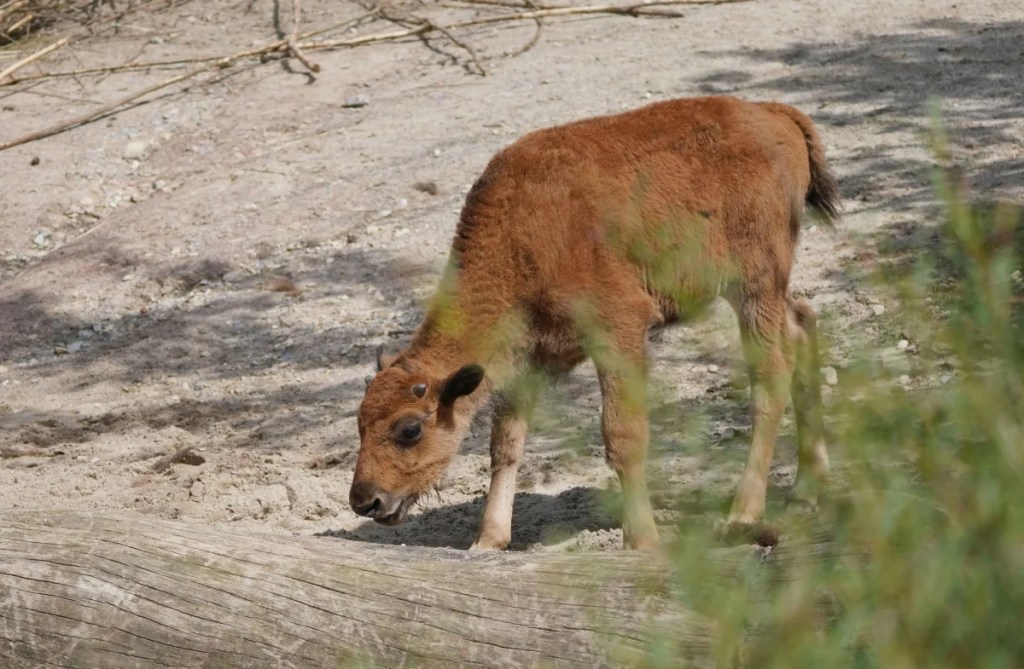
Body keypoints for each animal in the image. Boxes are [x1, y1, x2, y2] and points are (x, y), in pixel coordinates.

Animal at [352, 97, 839, 549]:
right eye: (359, 423)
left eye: (409, 429)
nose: (366, 500)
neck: (520, 241)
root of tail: (774, 113)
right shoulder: (525, 361)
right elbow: (505, 445)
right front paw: (487, 541)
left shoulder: (619, 333)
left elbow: (622, 436)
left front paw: (642, 540)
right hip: (763, 291)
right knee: (802, 324)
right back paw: (807, 491)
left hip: (754, 285)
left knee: (769, 380)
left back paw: (742, 515)